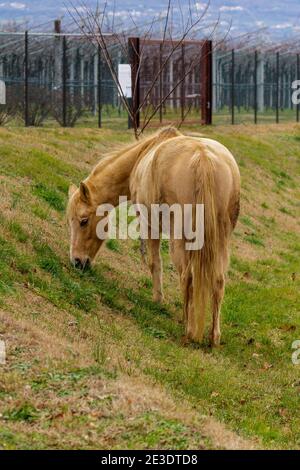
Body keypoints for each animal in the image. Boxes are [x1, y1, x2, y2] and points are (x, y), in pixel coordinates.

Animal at [67, 127, 240, 346]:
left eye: (83, 221)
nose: (77, 261)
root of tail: (203, 158)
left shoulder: (150, 226)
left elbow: (154, 263)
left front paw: (158, 299)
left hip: (180, 240)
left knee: (188, 277)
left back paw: (188, 329)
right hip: (221, 241)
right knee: (218, 280)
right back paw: (214, 337)